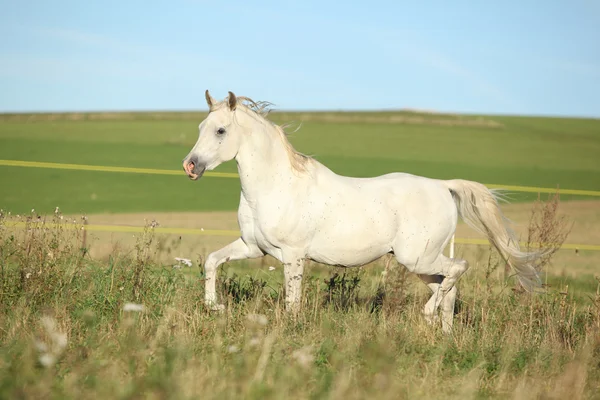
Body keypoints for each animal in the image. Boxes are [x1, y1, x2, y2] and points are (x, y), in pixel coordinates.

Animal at [183, 90, 544, 332]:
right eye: (200, 127)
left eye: (220, 130)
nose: (190, 166)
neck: (275, 186)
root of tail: (443, 186)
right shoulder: (253, 247)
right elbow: (212, 260)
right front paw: (214, 306)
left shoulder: (293, 255)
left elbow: (292, 299)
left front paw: (292, 329)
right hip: (422, 264)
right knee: (449, 288)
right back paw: (443, 336)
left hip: (418, 257)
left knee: (459, 269)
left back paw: (428, 316)